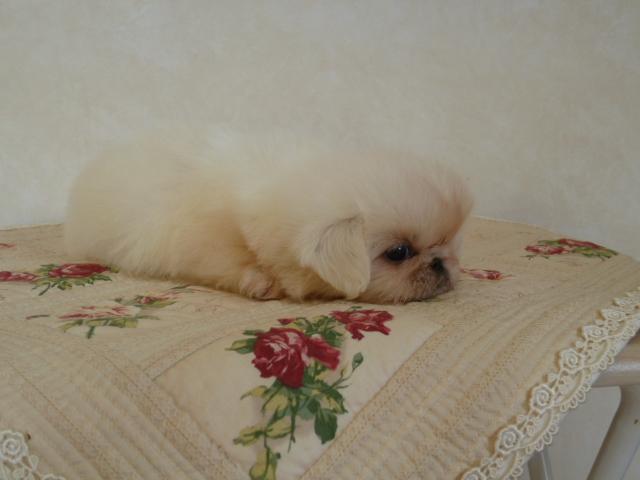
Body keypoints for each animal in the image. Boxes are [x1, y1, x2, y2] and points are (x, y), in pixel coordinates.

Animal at [65, 138, 472, 303]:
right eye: (399, 253)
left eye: (450, 242)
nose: (442, 263)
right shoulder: (207, 243)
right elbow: (232, 261)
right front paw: (261, 281)